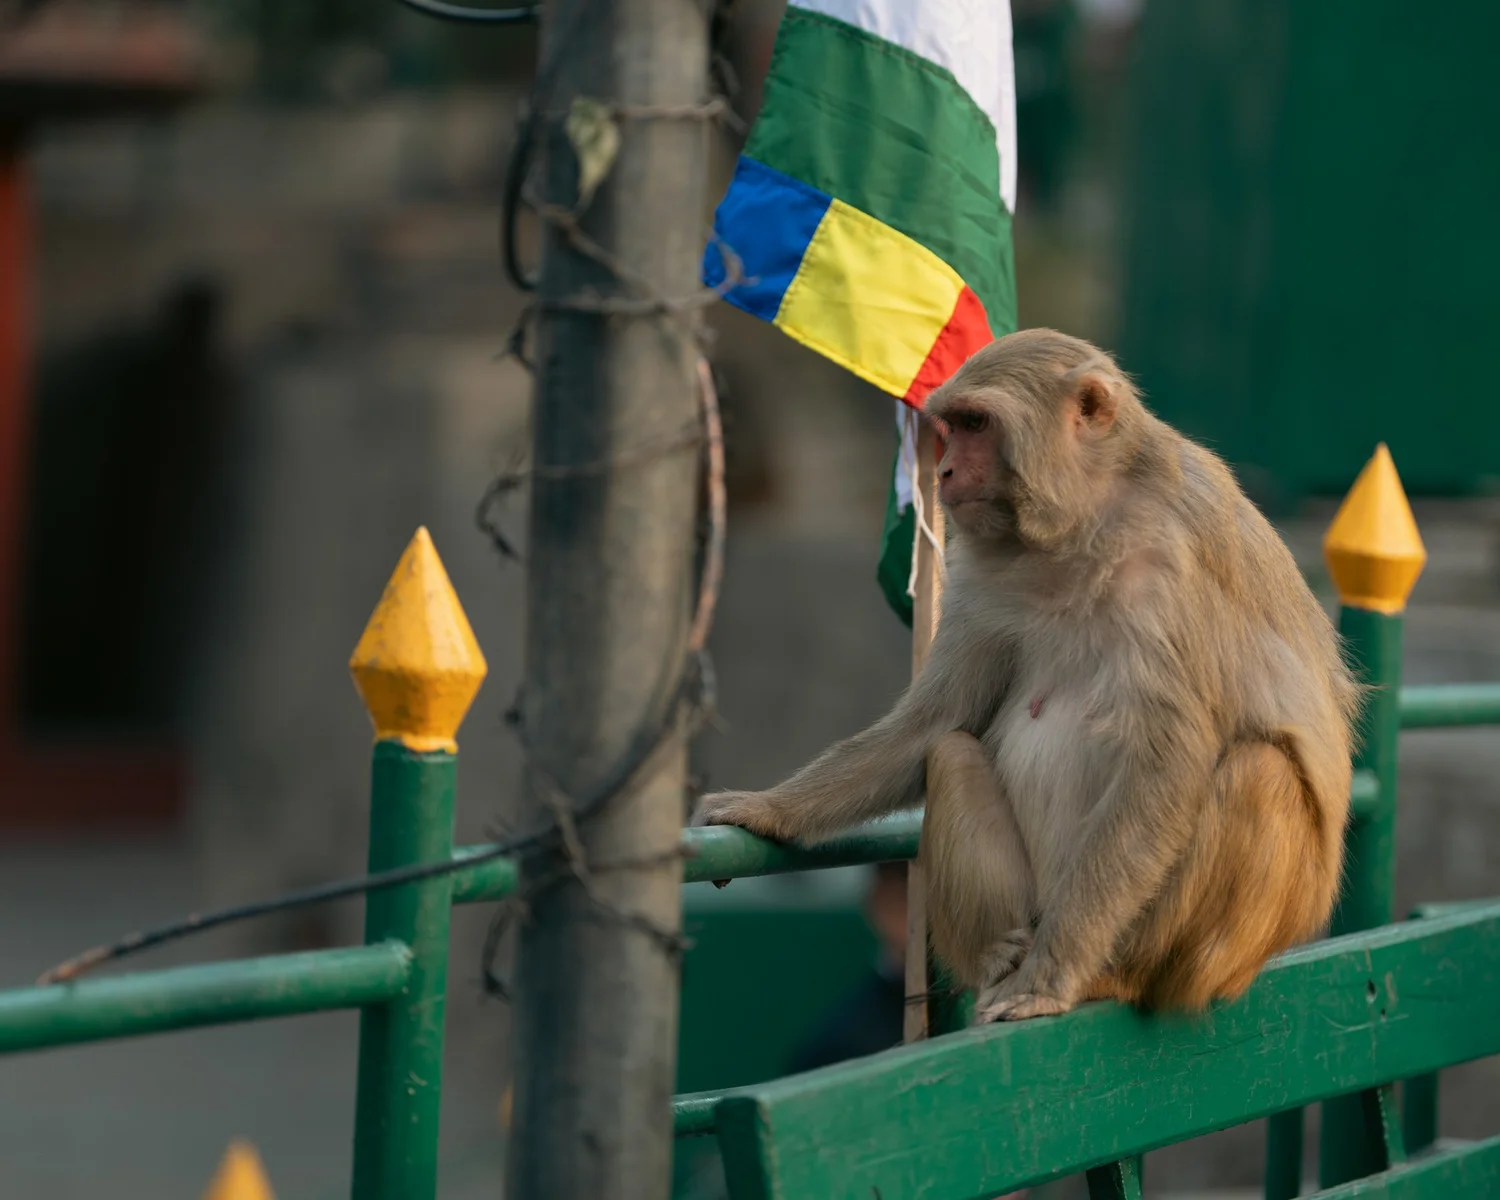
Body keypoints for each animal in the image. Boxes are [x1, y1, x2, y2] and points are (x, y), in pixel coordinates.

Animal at [690, 328, 1361, 1023]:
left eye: (976, 424)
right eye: (952, 428)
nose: (945, 471)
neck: (1081, 526)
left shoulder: (1170, 565)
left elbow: (1167, 763)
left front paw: (1051, 977)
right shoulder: (984, 574)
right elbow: (934, 723)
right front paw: (764, 810)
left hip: (1221, 948)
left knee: (1259, 773)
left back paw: (1108, 975)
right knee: (951, 753)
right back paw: (998, 956)